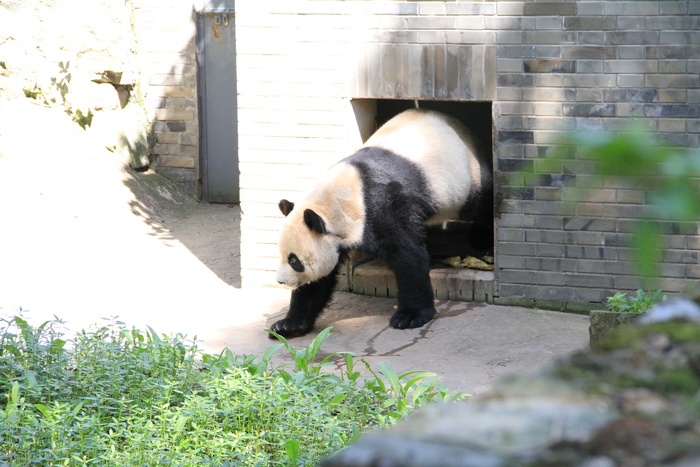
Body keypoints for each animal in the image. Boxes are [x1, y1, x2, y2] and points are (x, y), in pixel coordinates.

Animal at [270, 108, 492, 338]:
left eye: (294, 260)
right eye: (283, 256)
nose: (280, 280)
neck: (342, 199)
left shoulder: (385, 206)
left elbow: (408, 255)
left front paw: (409, 316)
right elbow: (317, 282)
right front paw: (287, 325)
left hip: (464, 176)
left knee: (481, 203)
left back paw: (481, 237)